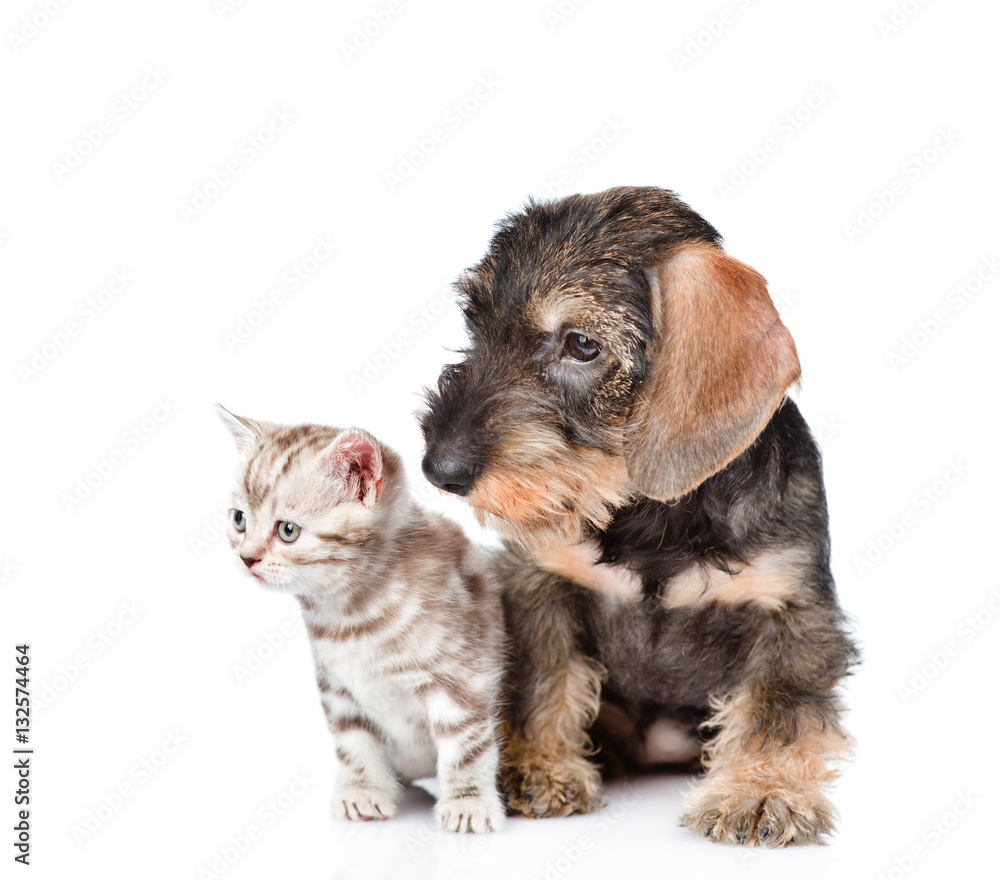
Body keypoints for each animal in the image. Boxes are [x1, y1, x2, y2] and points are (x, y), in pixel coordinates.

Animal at [214, 406, 504, 832]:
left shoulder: (462, 678)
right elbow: (353, 742)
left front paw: (468, 803)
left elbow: (464, 743)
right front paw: (363, 791)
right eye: (239, 521)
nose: (246, 558)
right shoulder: (338, 690)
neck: (350, 618)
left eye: (288, 530)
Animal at [418, 186, 856, 844]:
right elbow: (543, 681)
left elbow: (778, 709)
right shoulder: (542, 586)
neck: (652, 516)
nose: (439, 468)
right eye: (476, 323)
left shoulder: (792, 610)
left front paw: (761, 793)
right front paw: (539, 768)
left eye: (581, 344)